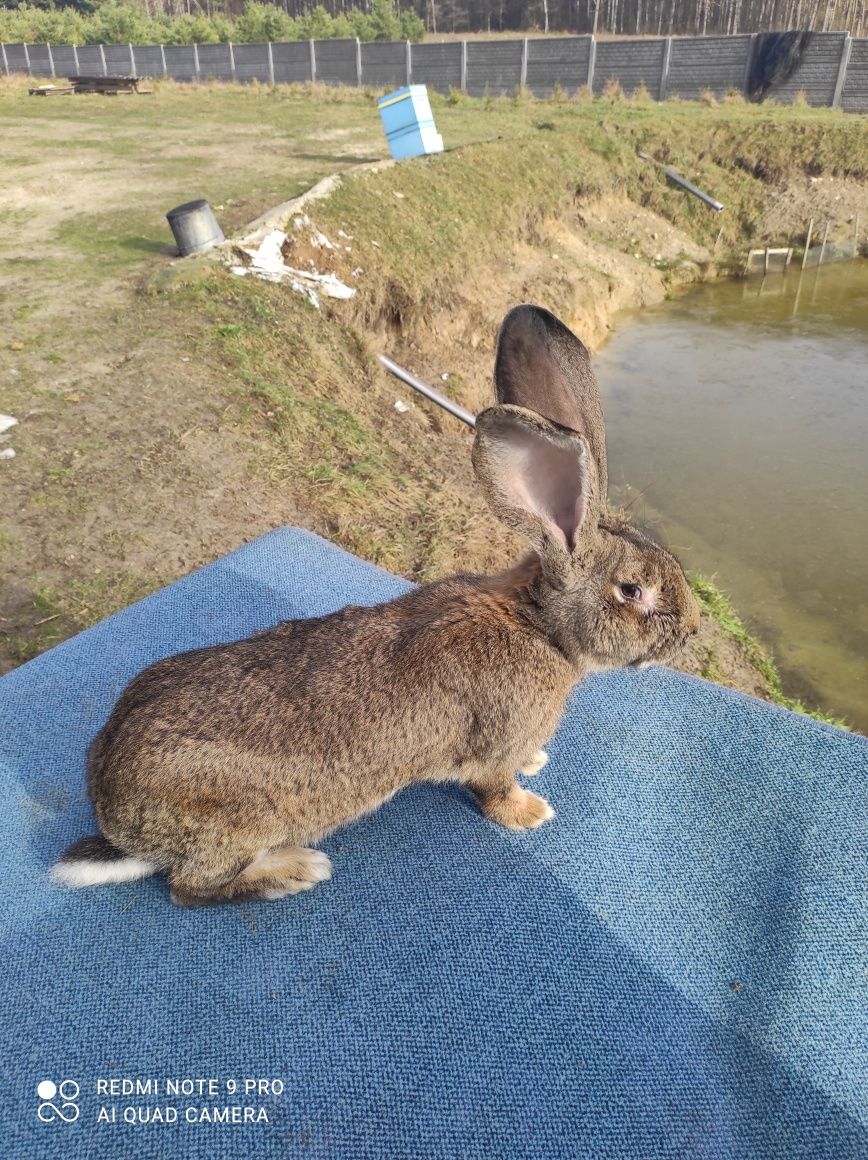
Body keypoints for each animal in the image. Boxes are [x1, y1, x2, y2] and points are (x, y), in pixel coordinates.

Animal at [52, 306, 696, 904]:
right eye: (633, 592)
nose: (689, 631)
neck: (540, 625)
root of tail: (118, 826)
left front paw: (535, 763)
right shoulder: (492, 749)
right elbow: (495, 789)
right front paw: (531, 810)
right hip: (237, 822)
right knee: (189, 887)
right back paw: (296, 870)